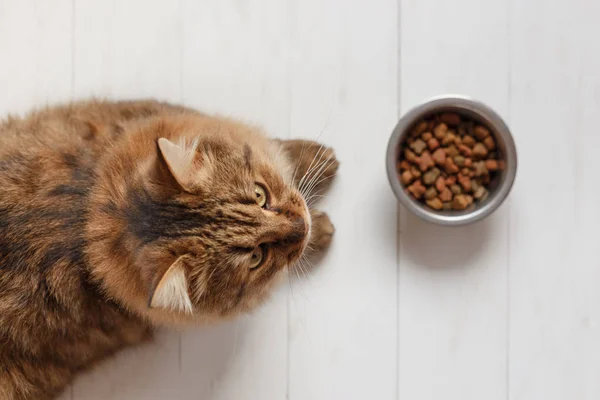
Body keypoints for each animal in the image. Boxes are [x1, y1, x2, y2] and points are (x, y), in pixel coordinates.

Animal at [0, 99, 338, 396]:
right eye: (257, 257)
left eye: (260, 194)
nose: (302, 226)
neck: (86, 216)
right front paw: (322, 230)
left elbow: (276, 147)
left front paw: (318, 158)